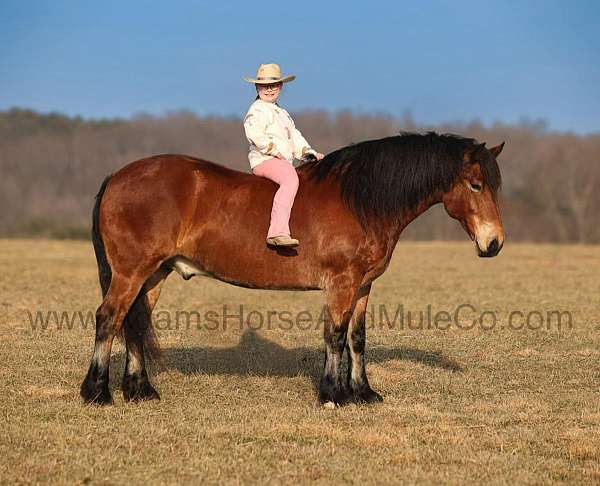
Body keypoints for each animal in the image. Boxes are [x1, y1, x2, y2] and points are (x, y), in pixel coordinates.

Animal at [78, 130, 502, 406]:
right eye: (476, 185)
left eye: (495, 185)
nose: (494, 243)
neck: (360, 200)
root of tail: (118, 176)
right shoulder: (342, 284)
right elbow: (334, 336)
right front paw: (334, 394)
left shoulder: (363, 286)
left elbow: (356, 338)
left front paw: (364, 393)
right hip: (131, 272)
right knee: (109, 318)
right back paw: (97, 392)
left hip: (153, 274)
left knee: (135, 321)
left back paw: (140, 391)